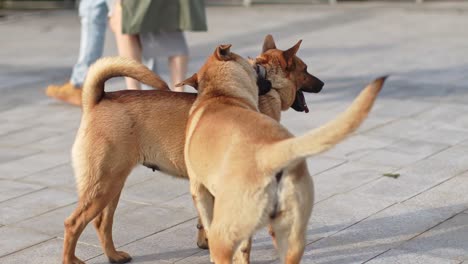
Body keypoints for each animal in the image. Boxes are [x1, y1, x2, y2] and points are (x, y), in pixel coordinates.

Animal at [61, 35, 326, 264]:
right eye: (305, 69)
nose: (322, 84)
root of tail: (98, 98)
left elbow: (205, 219)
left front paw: (205, 242)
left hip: (112, 184)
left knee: (102, 223)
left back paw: (113, 255)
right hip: (104, 184)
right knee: (73, 223)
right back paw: (71, 259)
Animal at [184, 44, 388, 262]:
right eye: (252, 63)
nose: (322, 84)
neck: (221, 94)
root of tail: (269, 153)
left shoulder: (199, 190)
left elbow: (207, 221)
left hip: (224, 234)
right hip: (291, 235)